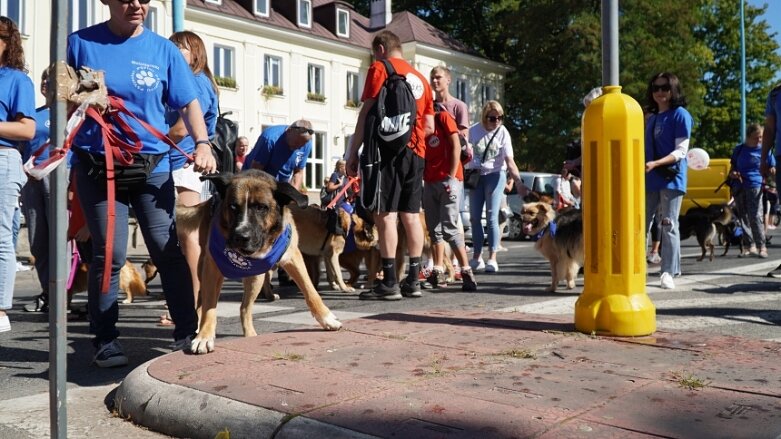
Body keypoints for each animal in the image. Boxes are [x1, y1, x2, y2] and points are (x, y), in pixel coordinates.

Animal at [177, 170, 342, 356]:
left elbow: (310, 291)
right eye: (233, 207)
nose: (240, 237)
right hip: (203, 269)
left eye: (262, 207)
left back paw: (250, 335)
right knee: (201, 301)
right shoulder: (212, 268)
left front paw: (327, 318)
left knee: (244, 308)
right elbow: (209, 306)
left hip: (257, 277)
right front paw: (204, 336)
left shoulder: (293, 257)